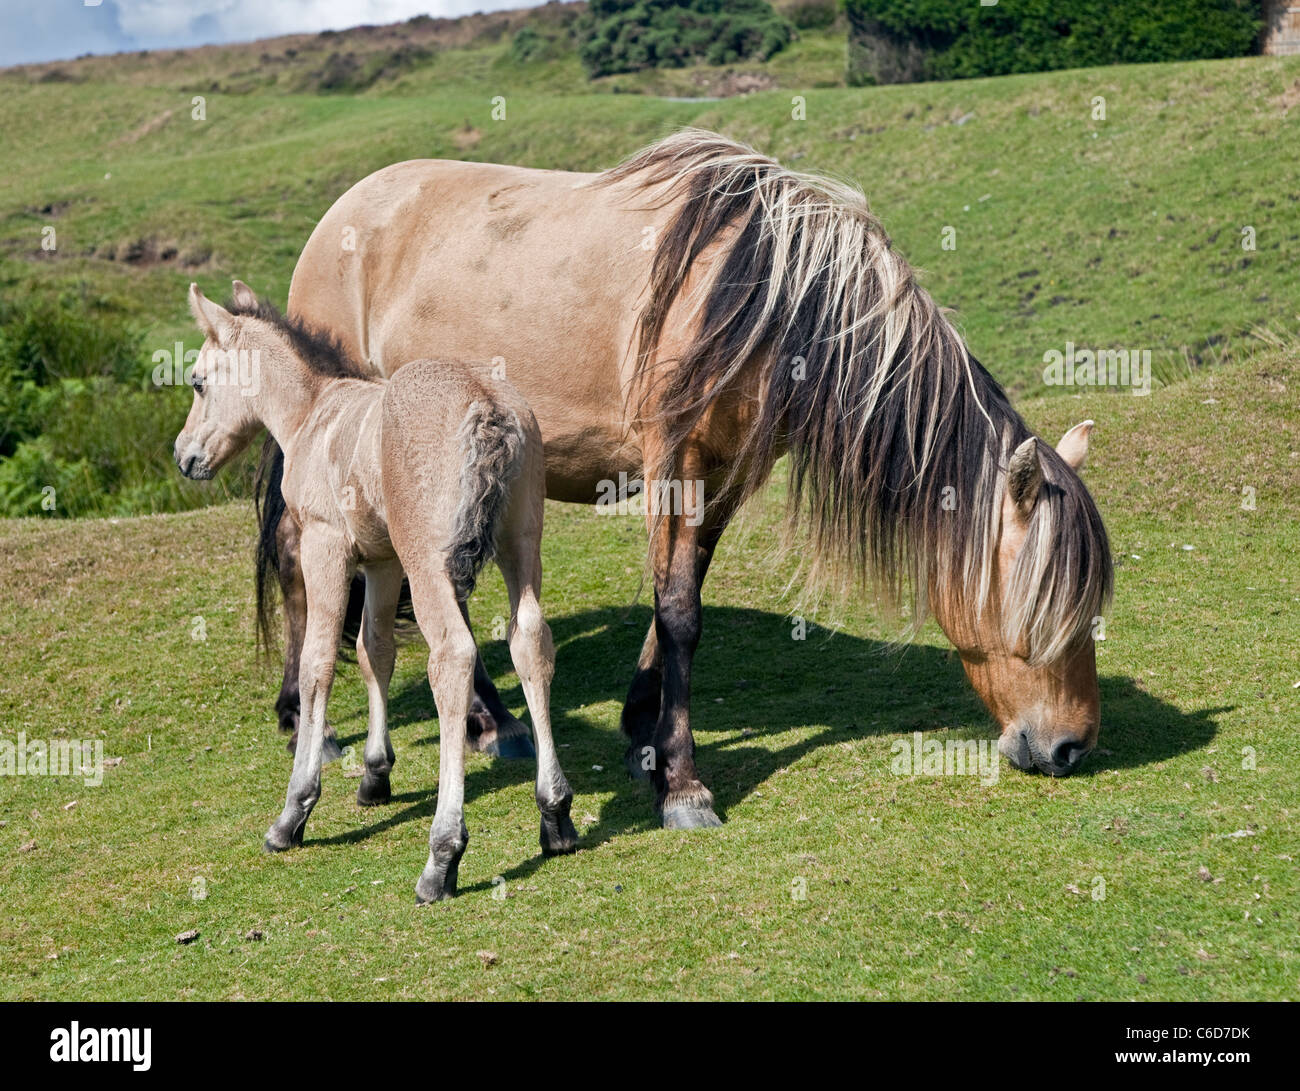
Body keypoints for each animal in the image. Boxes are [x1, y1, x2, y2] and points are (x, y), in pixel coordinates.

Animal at [172, 283, 579, 905]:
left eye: (197, 380)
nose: (184, 455)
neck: (313, 414)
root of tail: (486, 405)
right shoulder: (383, 562)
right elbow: (374, 651)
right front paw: (375, 774)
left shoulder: (326, 546)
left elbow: (317, 662)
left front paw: (293, 812)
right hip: (520, 542)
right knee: (530, 639)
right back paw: (555, 817)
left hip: (429, 560)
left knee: (451, 657)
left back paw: (442, 857)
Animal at [261, 128, 1107, 827]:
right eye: (1039, 608)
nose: (1071, 746)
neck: (762, 295)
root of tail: (340, 218)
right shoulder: (674, 462)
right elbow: (679, 613)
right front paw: (684, 784)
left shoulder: (726, 474)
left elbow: (681, 592)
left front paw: (646, 728)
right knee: (303, 560)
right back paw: (319, 714)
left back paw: (488, 721)